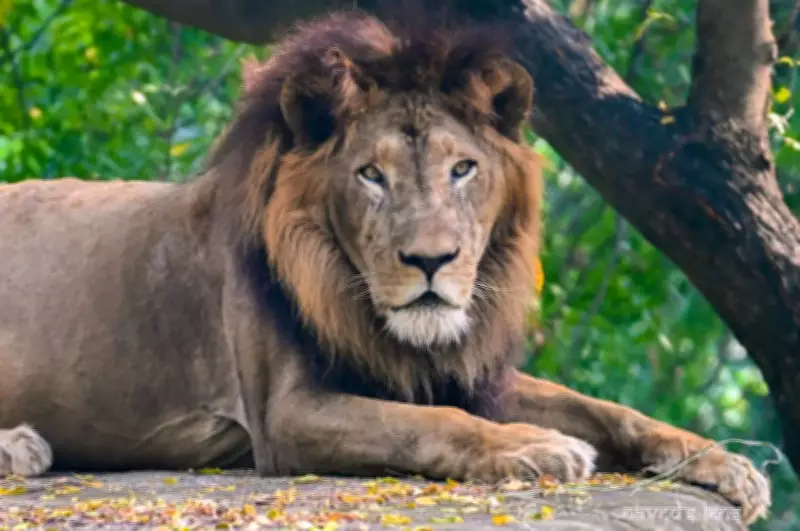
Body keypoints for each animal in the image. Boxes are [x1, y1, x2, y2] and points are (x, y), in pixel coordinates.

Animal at [0, 11, 770, 524]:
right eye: (371, 174)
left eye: (463, 168)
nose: (431, 261)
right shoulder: (283, 415)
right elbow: (427, 425)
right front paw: (537, 448)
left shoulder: (461, 372)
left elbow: (604, 408)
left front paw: (724, 462)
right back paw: (21, 448)